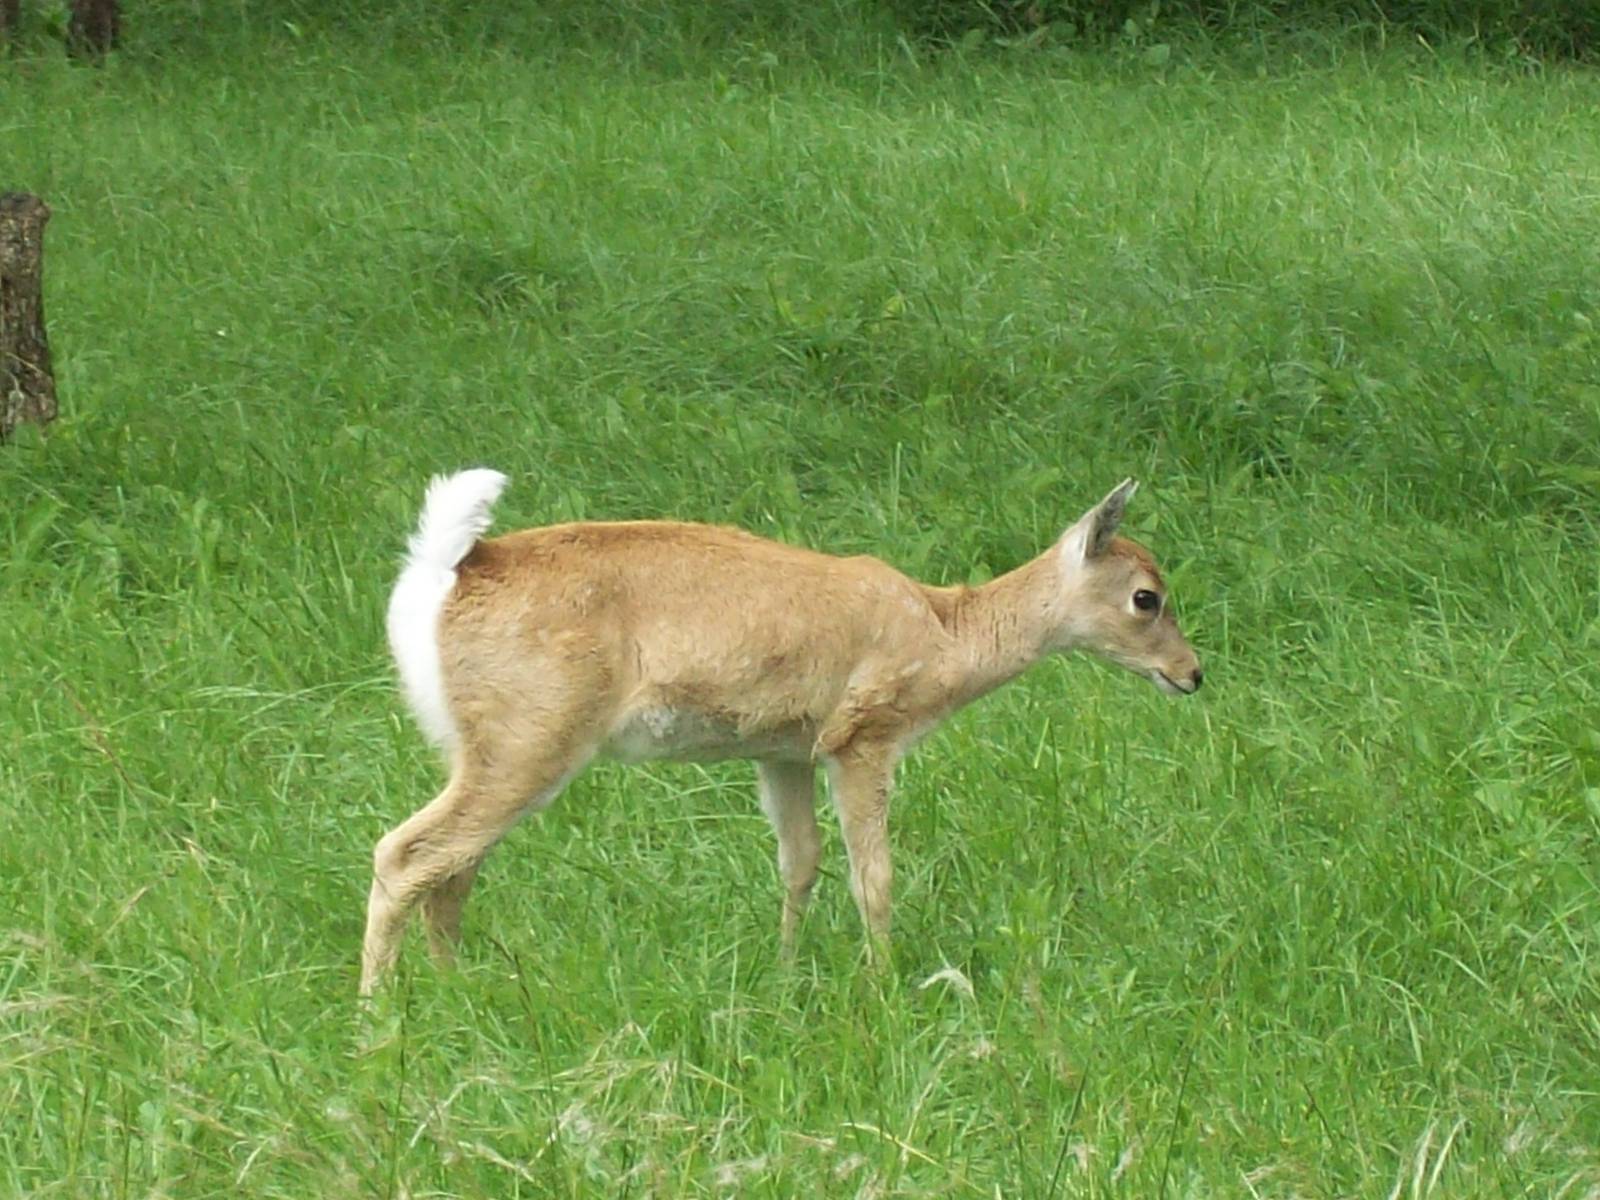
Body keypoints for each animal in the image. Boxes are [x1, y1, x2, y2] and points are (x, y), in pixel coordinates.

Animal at [360, 469, 1202, 994]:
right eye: (1146, 597)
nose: (1193, 673)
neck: (944, 635)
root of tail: (447, 570)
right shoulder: (863, 734)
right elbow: (874, 875)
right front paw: (882, 986)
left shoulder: (784, 749)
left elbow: (800, 863)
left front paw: (787, 972)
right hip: (534, 729)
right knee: (407, 854)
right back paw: (377, 1017)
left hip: (487, 742)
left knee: (453, 868)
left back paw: (454, 990)